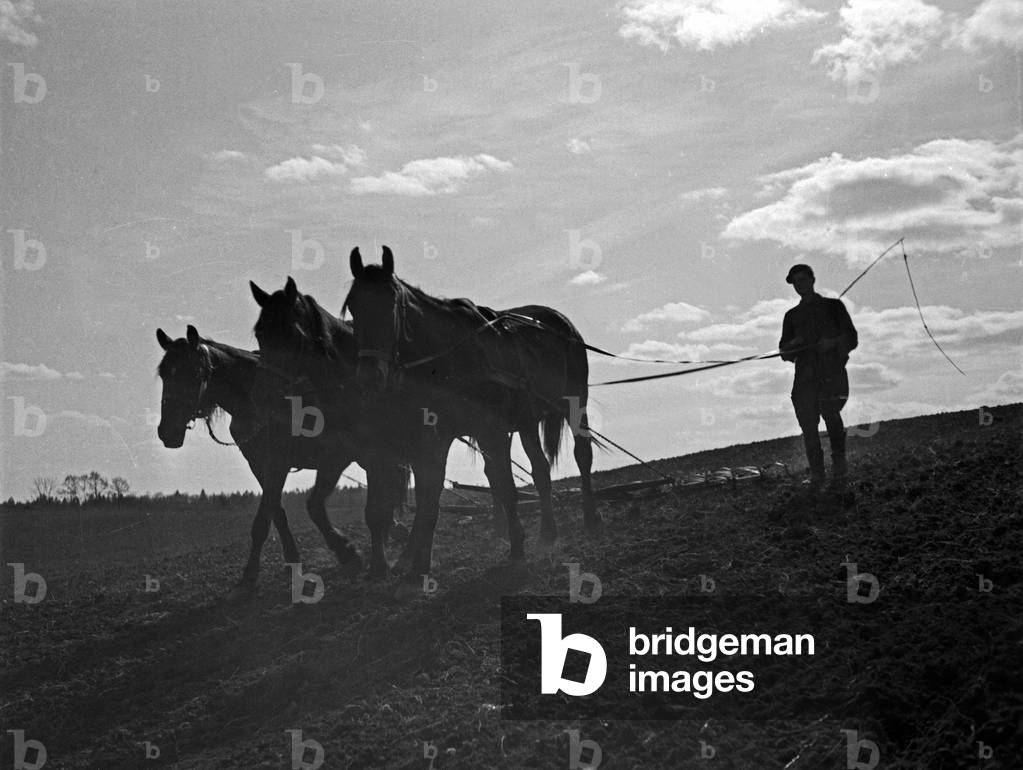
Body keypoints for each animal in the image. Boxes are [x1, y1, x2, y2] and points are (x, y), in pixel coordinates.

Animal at [156, 324, 392, 595]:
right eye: (164, 374)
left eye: (194, 372)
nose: (167, 431)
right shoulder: (262, 464)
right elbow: (274, 513)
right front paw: (278, 567)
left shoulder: (330, 456)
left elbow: (310, 507)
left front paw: (347, 552)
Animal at [343, 246, 602, 586]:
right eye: (353, 307)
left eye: (392, 305)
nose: (370, 376)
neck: (451, 356)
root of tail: (560, 321)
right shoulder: (435, 436)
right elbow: (429, 497)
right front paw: (418, 567)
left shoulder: (490, 429)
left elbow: (504, 487)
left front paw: (516, 550)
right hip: (527, 422)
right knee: (541, 470)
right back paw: (547, 533)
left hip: (575, 403)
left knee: (582, 453)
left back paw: (591, 516)